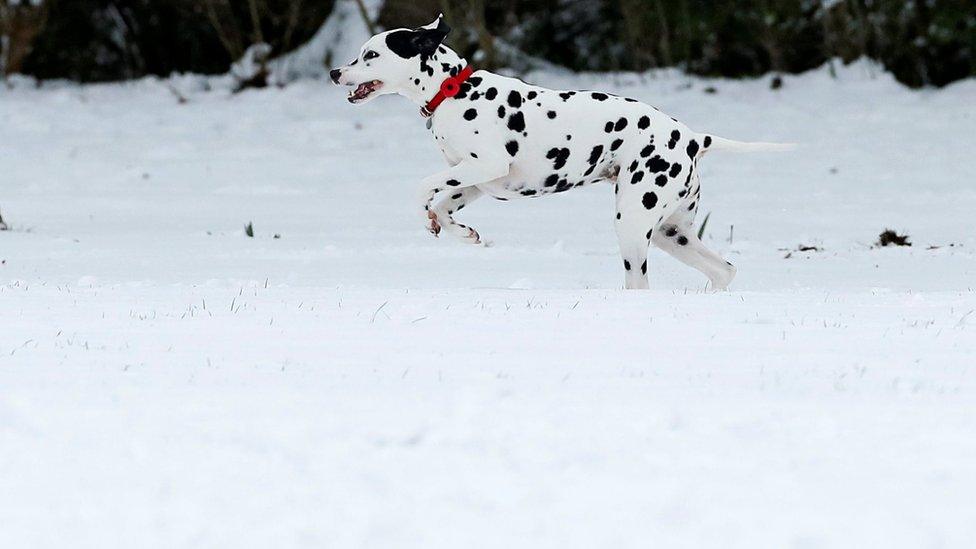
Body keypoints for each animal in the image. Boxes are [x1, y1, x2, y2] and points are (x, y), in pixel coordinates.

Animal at [332, 15, 788, 288]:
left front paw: (429, 212)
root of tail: (692, 137)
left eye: (371, 54)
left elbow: (421, 187)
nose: (336, 71)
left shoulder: (486, 164)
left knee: (641, 283)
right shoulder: (478, 179)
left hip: (633, 225)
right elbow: (445, 206)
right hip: (670, 233)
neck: (454, 90)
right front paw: (461, 232)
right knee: (724, 269)